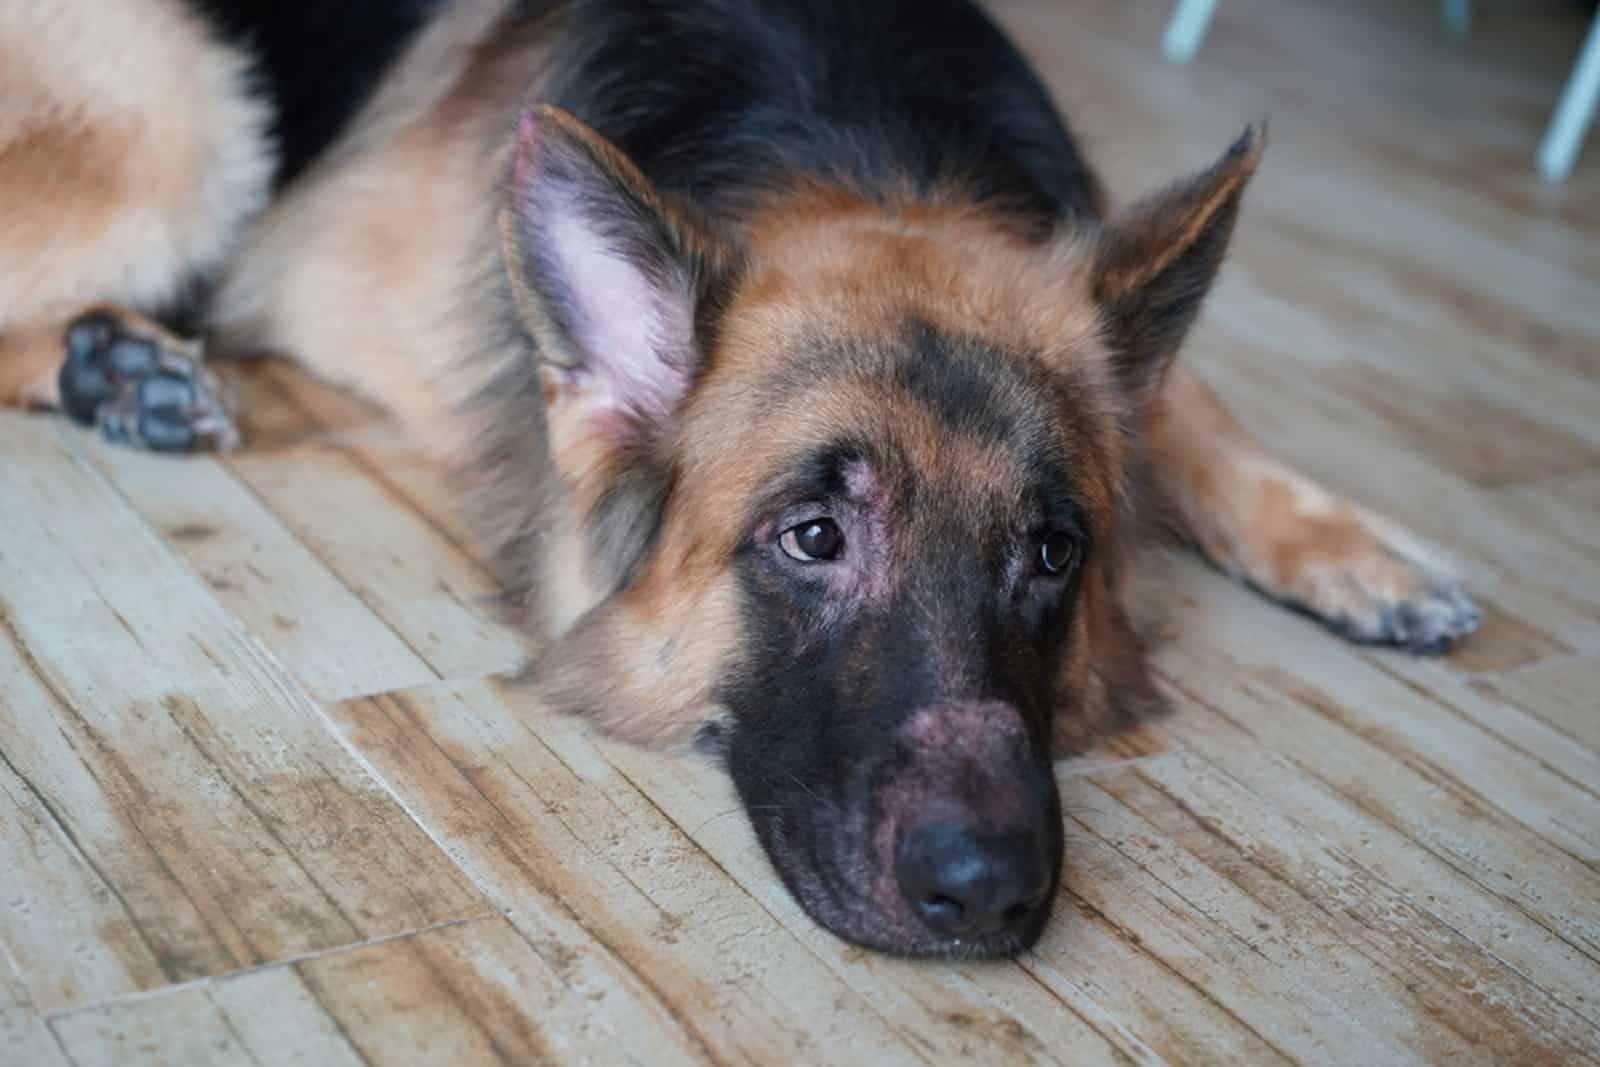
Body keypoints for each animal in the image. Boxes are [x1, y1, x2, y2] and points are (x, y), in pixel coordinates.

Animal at [0, 0, 1478, 953]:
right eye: (812, 535)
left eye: (1053, 552)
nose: (989, 894)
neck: (856, 140)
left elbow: (1197, 408)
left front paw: (1362, 550)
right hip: (190, 122)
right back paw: (116, 364)